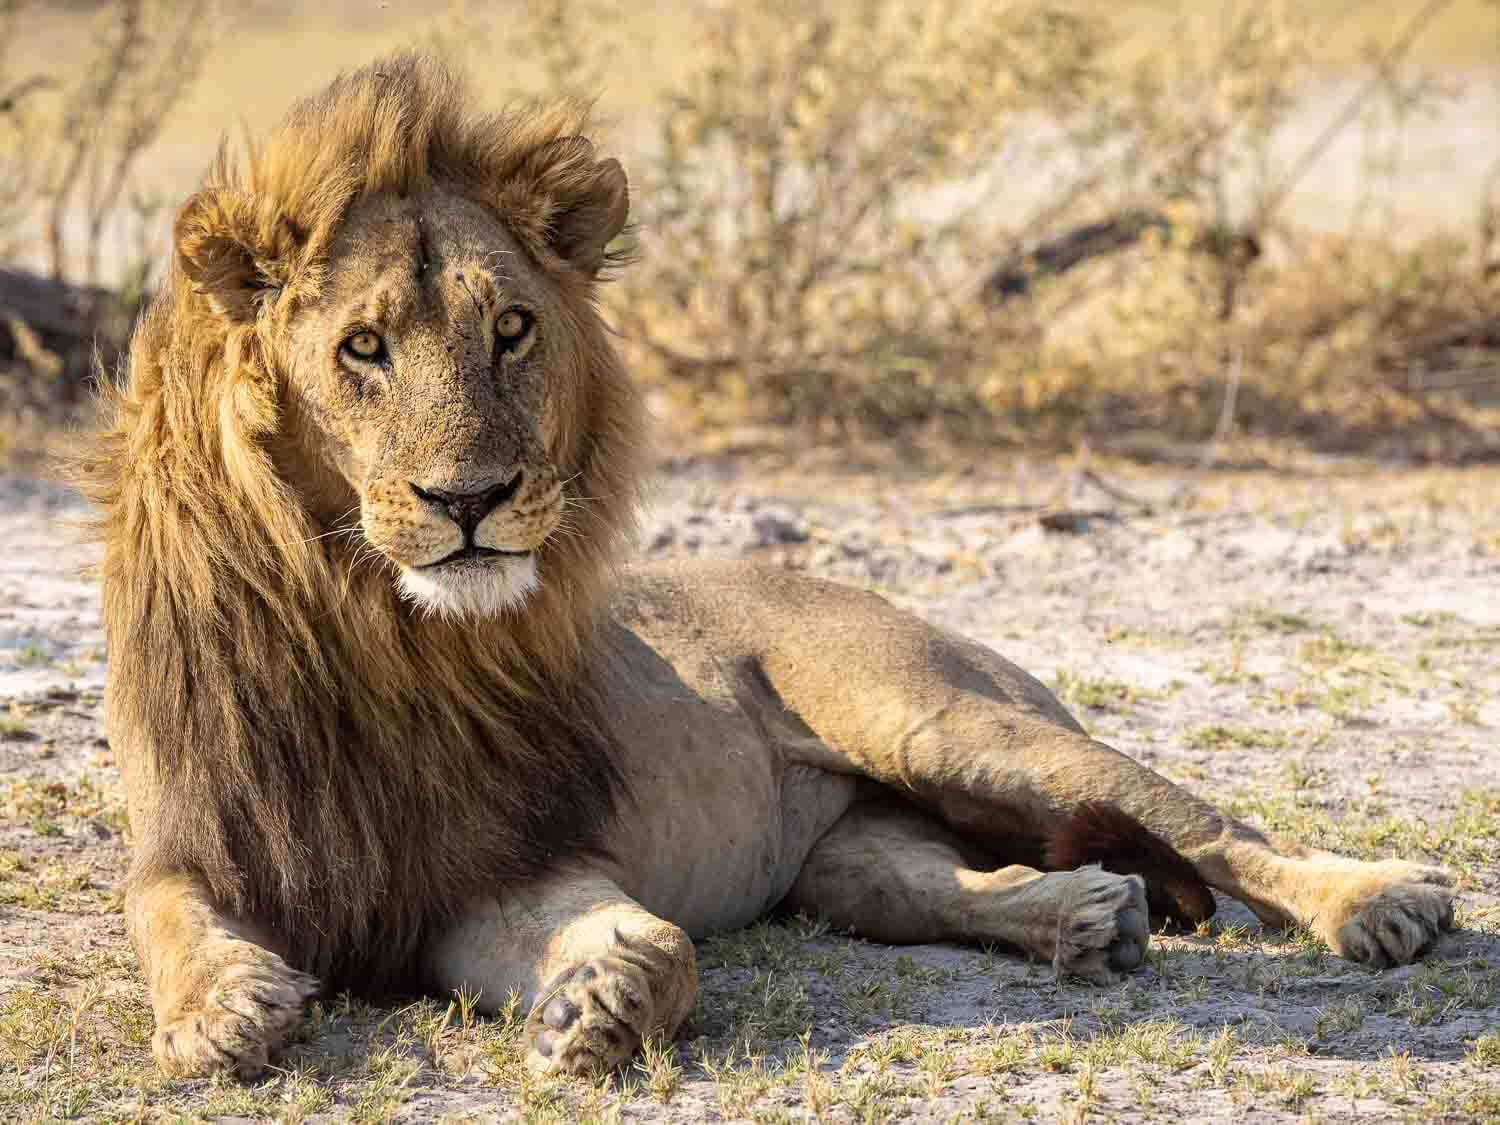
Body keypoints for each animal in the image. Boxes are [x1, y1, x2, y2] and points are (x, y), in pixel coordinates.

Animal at [76, 55, 1458, 1086]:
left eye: (510, 329)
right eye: (361, 348)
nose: (470, 502)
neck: (376, 631)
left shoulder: (501, 862)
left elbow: (660, 949)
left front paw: (598, 999)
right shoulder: (195, 838)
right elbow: (162, 918)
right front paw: (222, 1012)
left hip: (942, 720)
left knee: (1212, 823)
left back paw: (1381, 901)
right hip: (855, 851)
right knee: (957, 879)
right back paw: (1083, 918)